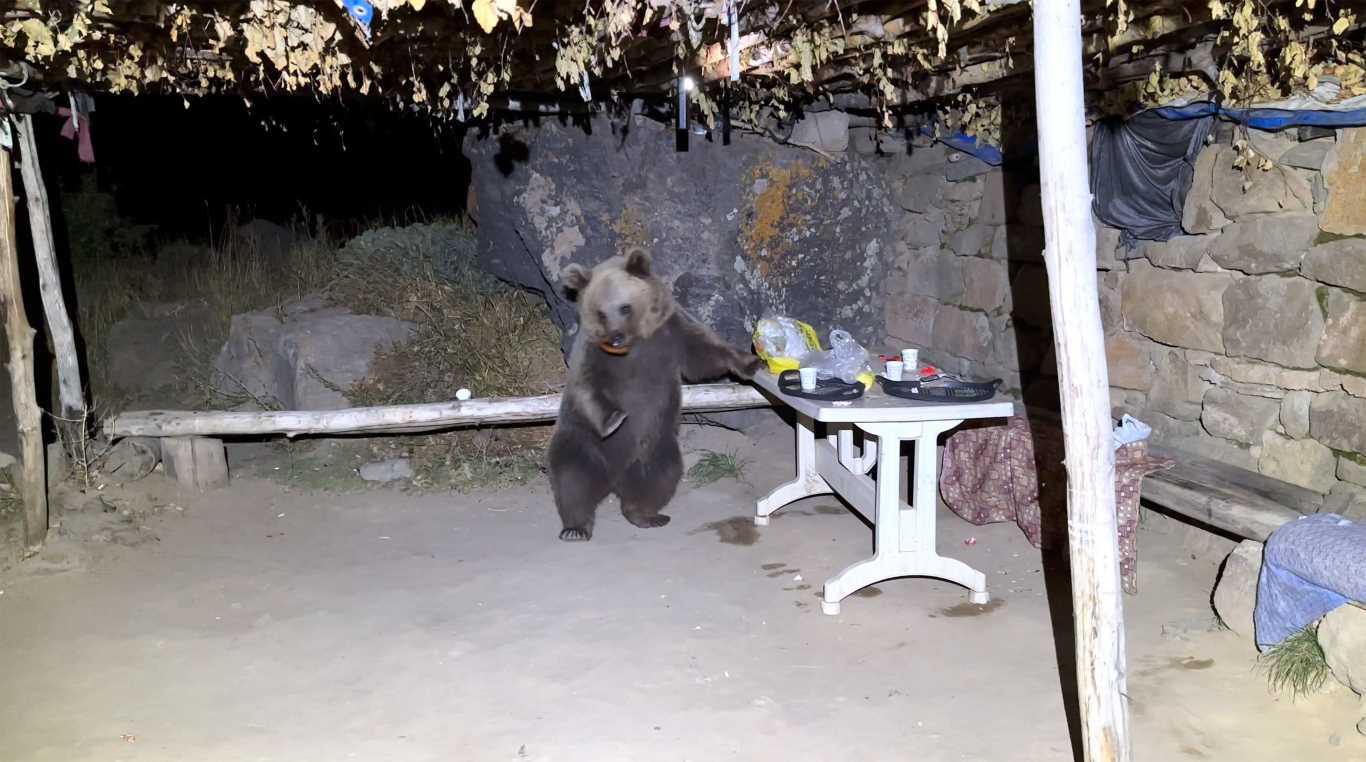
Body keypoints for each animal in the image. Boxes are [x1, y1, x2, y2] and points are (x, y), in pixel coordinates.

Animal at [546, 245, 764, 543]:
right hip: (583, 441)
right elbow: (587, 387)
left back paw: (645, 514)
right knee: (573, 479)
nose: (615, 338)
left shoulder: (671, 333)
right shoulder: (592, 355)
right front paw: (614, 419)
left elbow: (705, 353)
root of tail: (614, 480)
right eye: (600, 312)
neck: (636, 343)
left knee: (660, 476)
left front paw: (750, 362)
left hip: (656, 445)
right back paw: (575, 528)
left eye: (624, 307)